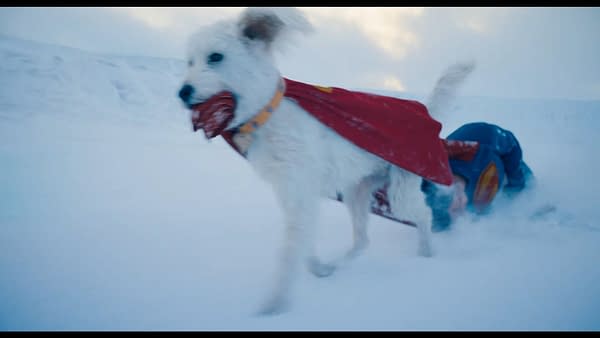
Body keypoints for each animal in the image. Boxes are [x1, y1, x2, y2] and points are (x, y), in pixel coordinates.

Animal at [178, 7, 474, 314]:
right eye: (190, 61)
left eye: (215, 57)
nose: (182, 92)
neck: (268, 116)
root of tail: (427, 113)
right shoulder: (294, 195)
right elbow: (302, 244)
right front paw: (316, 269)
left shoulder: (300, 193)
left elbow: (290, 253)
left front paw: (274, 304)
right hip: (357, 192)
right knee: (362, 240)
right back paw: (336, 265)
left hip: (400, 192)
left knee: (424, 216)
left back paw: (426, 255)